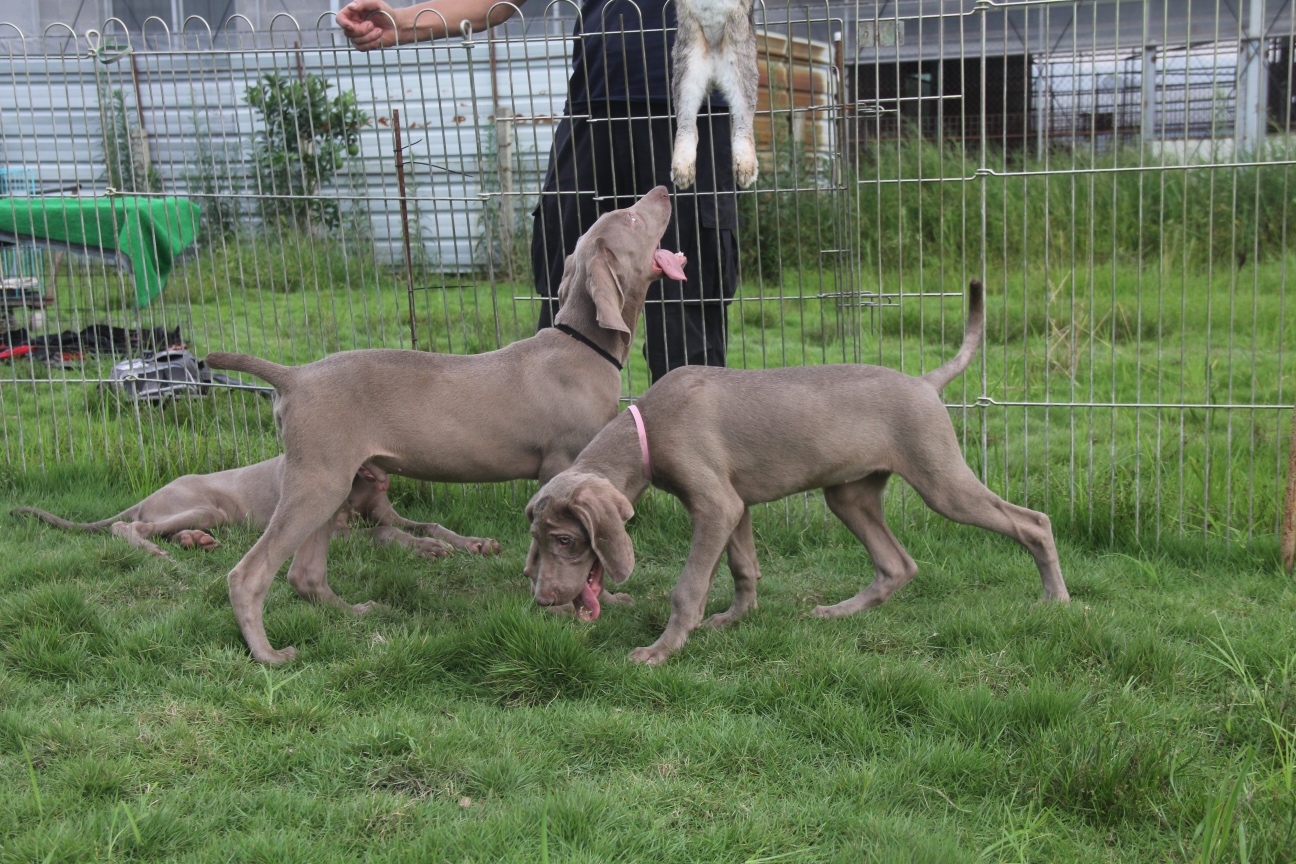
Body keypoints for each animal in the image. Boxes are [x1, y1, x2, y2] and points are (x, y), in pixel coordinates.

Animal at [204, 186, 689, 668]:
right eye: (630, 219)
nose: (664, 190)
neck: (583, 346)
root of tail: (294, 375)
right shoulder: (566, 466)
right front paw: (578, 605)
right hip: (317, 480)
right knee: (248, 574)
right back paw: (267, 654)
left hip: (330, 482)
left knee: (304, 574)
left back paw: (352, 612)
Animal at [520, 281, 1067, 668]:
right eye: (541, 541)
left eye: (567, 540)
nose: (544, 600)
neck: (647, 428)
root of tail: (923, 383)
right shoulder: (735, 505)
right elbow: (743, 566)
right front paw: (735, 618)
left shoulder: (715, 505)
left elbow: (689, 586)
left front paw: (662, 649)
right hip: (849, 495)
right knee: (898, 564)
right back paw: (838, 612)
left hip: (941, 482)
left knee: (1033, 522)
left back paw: (1056, 600)